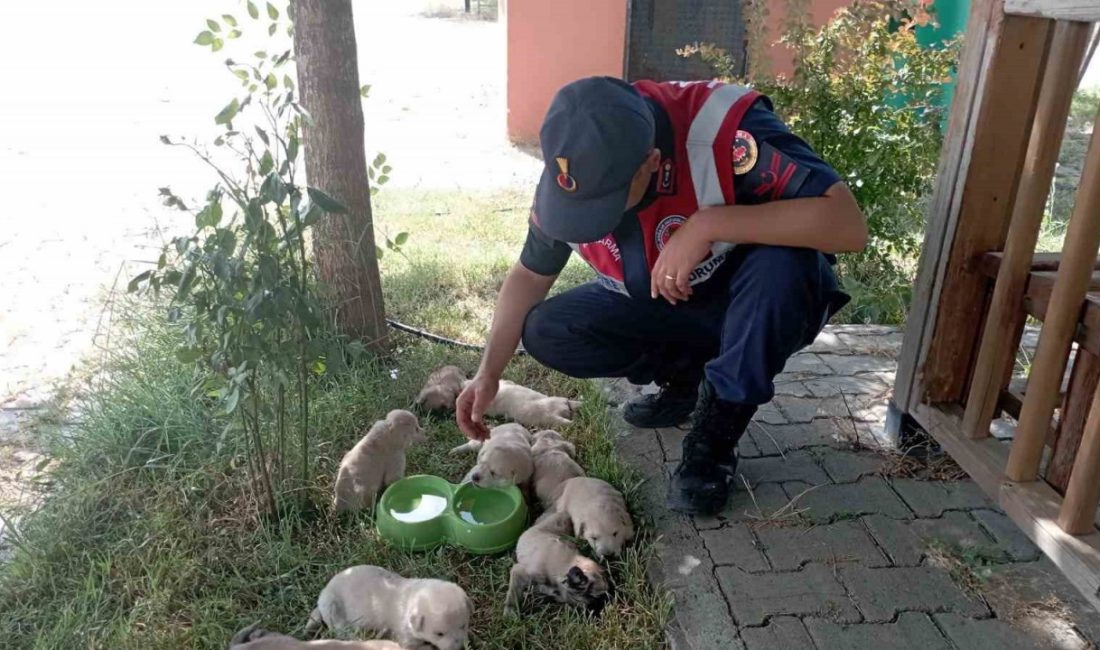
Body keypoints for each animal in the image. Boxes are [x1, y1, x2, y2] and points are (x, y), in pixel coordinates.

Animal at [308, 563, 470, 650]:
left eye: (463, 626)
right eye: (439, 634)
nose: (459, 648)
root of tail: (323, 595)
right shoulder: (404, 635)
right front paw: (428, 647)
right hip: (334, 610)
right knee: (343, 631)